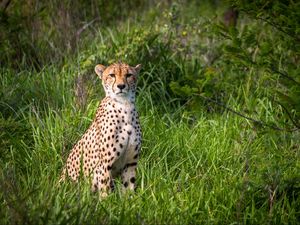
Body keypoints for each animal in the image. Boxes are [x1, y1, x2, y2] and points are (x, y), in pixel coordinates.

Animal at [60, 62, 142, 196]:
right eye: (112, 75)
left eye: (129, 75)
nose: (121, 86)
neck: (124, 105)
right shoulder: (104, 165)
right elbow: (105, 190)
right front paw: (108, 200)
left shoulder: (130, 163)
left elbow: (128, 188)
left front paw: (130, 199)